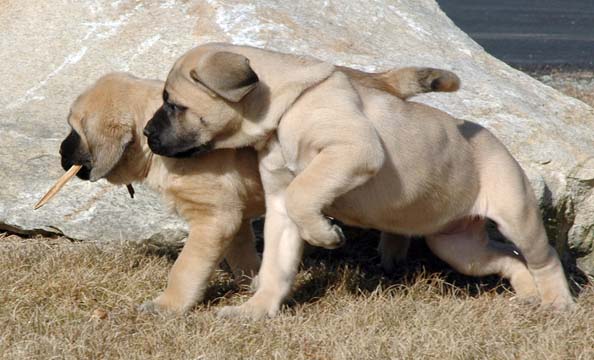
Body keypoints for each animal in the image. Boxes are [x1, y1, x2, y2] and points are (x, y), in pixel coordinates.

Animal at [44, 66, 458, 314]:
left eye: (73, 130)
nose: (61, 156)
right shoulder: (234, 218)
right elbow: (244, 257)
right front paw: (255, 283)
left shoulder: (214, 219)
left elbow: (185, 268)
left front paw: (168, 305)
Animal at [146, 43, 576, 320]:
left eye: (174, 105)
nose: (148, 133)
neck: (285, 107)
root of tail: (500, 145)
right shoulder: (281, 205)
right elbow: (275, 264)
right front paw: (256, 310)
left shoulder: (353, 150)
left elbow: (306, 192)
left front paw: (325, 235)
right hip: (459, 247)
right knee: (509, 260)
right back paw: (528, 295)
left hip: (517, 215)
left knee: (543, 258)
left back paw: (558, 303)